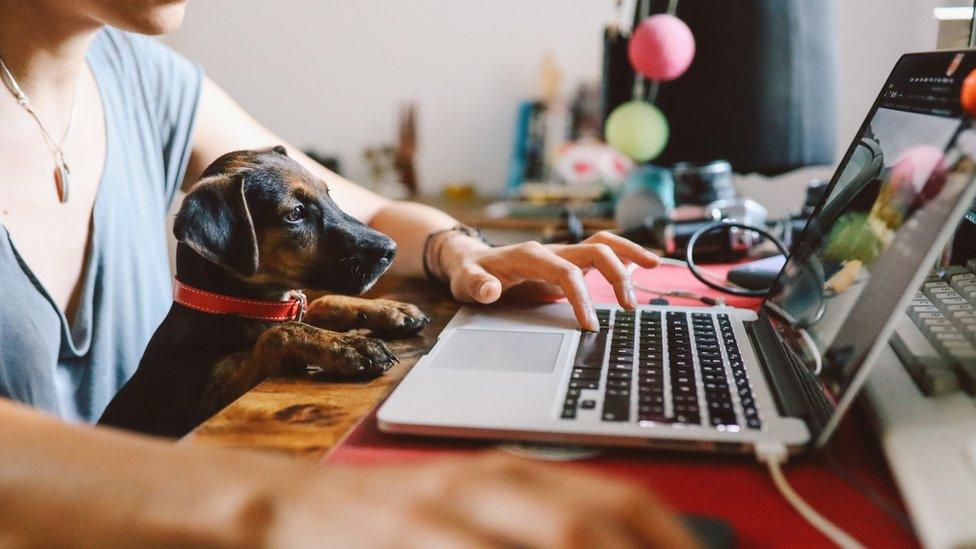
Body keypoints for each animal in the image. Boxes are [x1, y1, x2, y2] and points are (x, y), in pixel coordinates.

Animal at [98, 146, 428, 436]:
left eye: (328, 193)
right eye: (295, 213)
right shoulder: (206, 403)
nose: (391, 249)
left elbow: (320, 303)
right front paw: (348, 346)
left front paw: (391, 309)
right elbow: (279, 333)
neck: (233, 305)